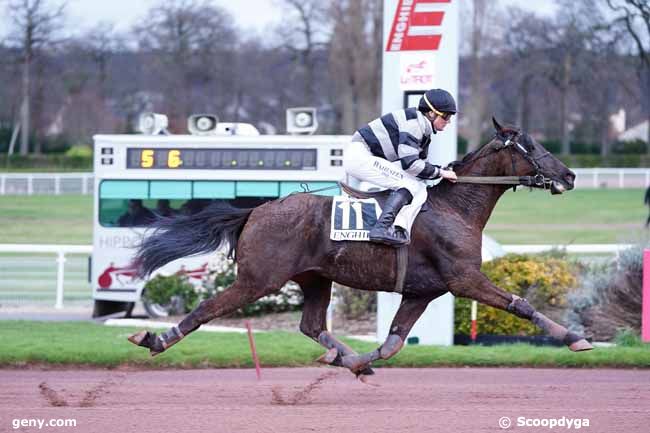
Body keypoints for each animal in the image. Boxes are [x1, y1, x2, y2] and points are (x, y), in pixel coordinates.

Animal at [128, 116, 592, 376]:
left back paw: (343, 359)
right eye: (531, 146)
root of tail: (256, 211)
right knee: (208, 307)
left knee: (311, 326)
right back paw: (156, 339)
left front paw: (361, 363)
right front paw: (574, 337)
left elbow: (393, 343)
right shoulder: (463, 278)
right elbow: (520, 304)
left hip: (315, 278)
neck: (455, 207)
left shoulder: (422, 291)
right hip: (259, 279)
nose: (569, 176)